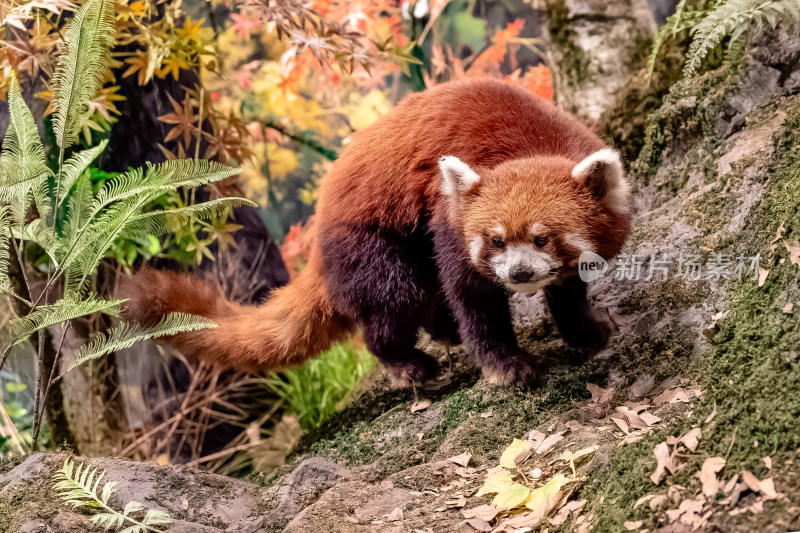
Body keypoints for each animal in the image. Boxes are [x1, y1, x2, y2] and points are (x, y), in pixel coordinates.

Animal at [128, 79, 632, 384]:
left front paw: (586, 331)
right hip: (373, 238)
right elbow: (473, 296)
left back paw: (443, 330)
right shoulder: (445, 217)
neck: (529, 142)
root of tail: (320, 225)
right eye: (496, 241)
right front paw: (505, 365)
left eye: (543, 238)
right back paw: (410, 362)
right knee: (396, 298)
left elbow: (569, 291)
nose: (520, 274)